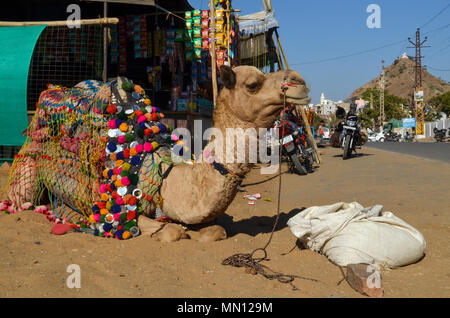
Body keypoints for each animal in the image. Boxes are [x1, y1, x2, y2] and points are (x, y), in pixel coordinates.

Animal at [0, 66, 310, 242]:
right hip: (29, 164)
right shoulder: (113, 210)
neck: (166, 177)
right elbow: (172, 231)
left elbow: (216, 231)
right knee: (20, 199)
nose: (299, 82)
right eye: (253, 85)